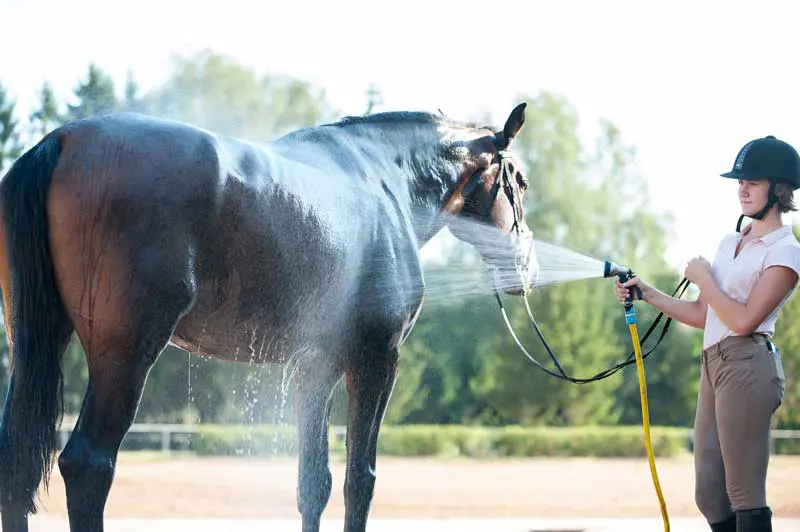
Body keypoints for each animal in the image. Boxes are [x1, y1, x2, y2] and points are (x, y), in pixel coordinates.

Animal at [0, 102, 534, 532]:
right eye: (521, 182)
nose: (527, 265)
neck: (387, 180)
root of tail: (62, 141)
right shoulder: (376, 360)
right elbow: (359, 479)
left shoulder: (315, 368)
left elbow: (314, 482)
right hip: (124, 358)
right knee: (88, 464)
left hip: (34, 345)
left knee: (18, 463)